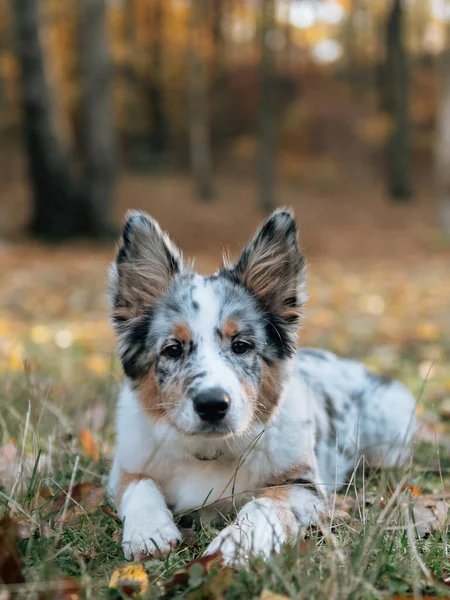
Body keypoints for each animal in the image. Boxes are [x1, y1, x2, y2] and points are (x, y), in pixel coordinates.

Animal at [107, 209, 416, 564]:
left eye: (241, 345)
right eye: (173, 349)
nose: (212, 405)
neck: (210, 451)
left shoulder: (303, 486)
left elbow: (264, 504)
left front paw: (236, 544)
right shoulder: (124, 466)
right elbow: (139, 485)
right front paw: (149, 533)